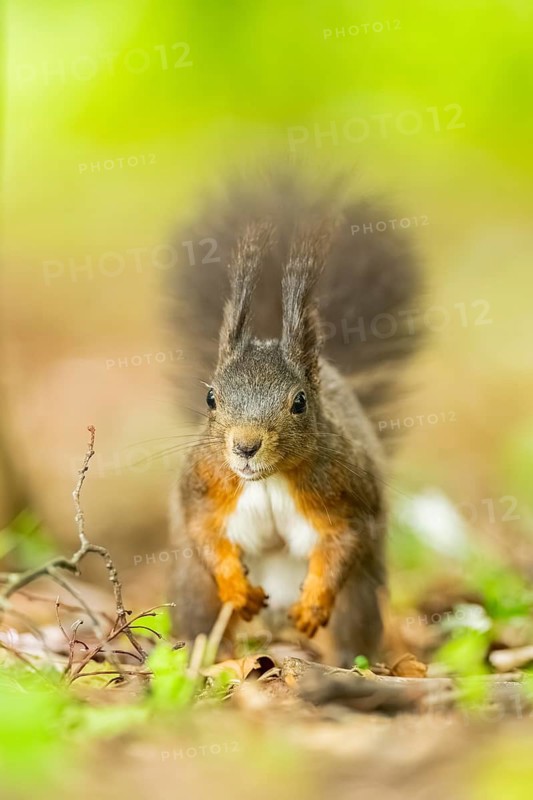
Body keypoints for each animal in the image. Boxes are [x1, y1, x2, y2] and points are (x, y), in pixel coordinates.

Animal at [168, 169, 421, 666]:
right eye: (211, 398)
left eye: (299, 402)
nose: (245, 446)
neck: (267, 479)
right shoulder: (204, 484)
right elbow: (203, 530)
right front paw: (236, 587)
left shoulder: (344, 491)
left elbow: (343, 540)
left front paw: (313, 604)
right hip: (193, 589)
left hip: (358, 599)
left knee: (352, 626)